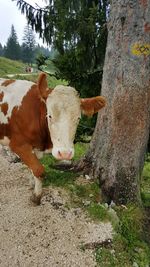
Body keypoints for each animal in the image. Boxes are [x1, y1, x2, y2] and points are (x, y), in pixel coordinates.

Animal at [0, 73, 105, 205]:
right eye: (49, 116)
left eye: (78, 118)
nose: (65, 153)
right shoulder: (18, 144)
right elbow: (39, 169)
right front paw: (36, 196)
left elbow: (32, 168)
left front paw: (32, 184)